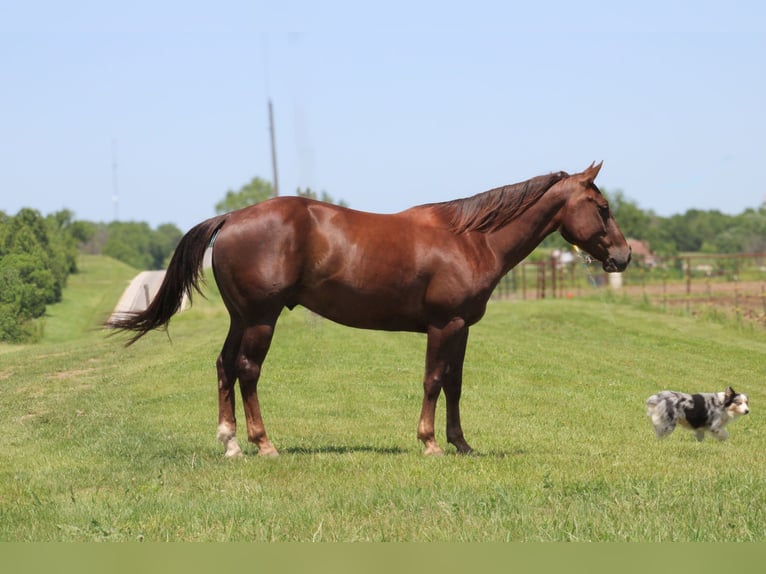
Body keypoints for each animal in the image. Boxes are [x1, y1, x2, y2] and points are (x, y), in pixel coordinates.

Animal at [108, 163, 632, 460]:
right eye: (603, 207)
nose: (624, 256)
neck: (470, 238)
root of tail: (231, 218)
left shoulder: (461, 328)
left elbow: (456, 384)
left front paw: (462, 443)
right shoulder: (444, 325)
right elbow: (433, 381)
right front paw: (429, 443)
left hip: (242, 318)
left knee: (223, 367)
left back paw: (231, 444)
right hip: (261, 319)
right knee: (247, 370)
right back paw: (264, 444)